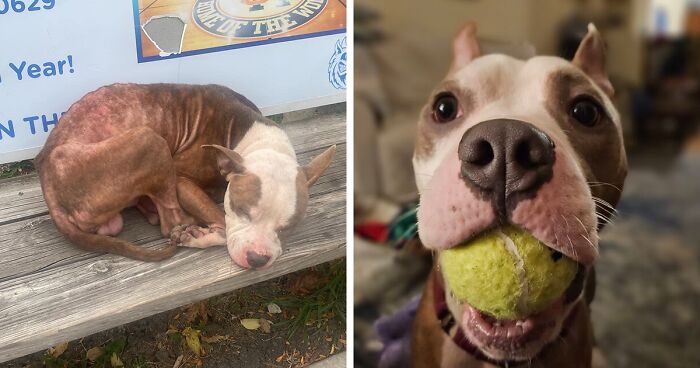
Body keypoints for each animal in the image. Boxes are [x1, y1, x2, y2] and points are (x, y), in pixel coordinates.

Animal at [34, 82, 334, 268]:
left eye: (288, 227)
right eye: (242, 211)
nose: (258, 259)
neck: (256, 138)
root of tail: (45, 173)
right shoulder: (182, 181)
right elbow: (223, 224)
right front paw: (200, 235)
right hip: (150, 141)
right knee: (170, 223)